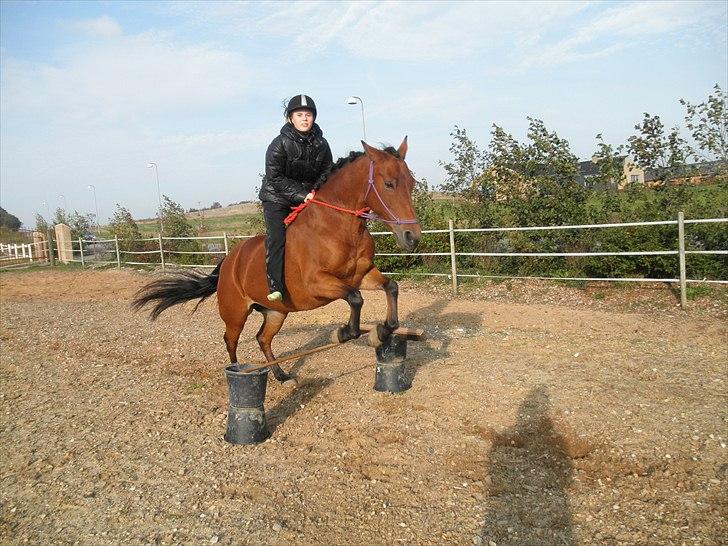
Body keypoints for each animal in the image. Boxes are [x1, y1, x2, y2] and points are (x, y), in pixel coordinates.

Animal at [132, 137, 420, 382]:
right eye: (389, 184)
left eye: (411, 184)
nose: (412, 237)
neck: (338, 226)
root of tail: (228, 261)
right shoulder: (318, 284)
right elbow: (355, 298)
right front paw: (345, 332)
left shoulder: (362, 274)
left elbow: (390, 287)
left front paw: (383, 331)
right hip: (235, 313)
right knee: (230, 340)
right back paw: (238, 372)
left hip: (275, 312)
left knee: (263, 338)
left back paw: (281, 375)